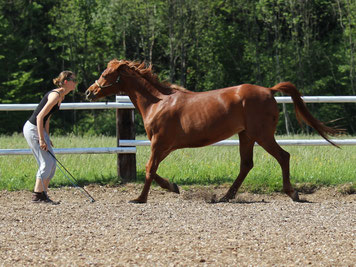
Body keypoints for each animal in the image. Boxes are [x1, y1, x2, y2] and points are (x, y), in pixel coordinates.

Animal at [85, 60, 340, 203]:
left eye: (106, 74)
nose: (89, 92)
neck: (157, 102)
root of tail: (269, 90)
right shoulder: (166, 146)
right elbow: (153, 170)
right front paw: (173, 187)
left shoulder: (159, 143)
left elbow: (149, 169)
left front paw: (140, 198)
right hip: (246, 136)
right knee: (246, 165)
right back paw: (226, 196)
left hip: (262, 135)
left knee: (283, 156)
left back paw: (292, 193)